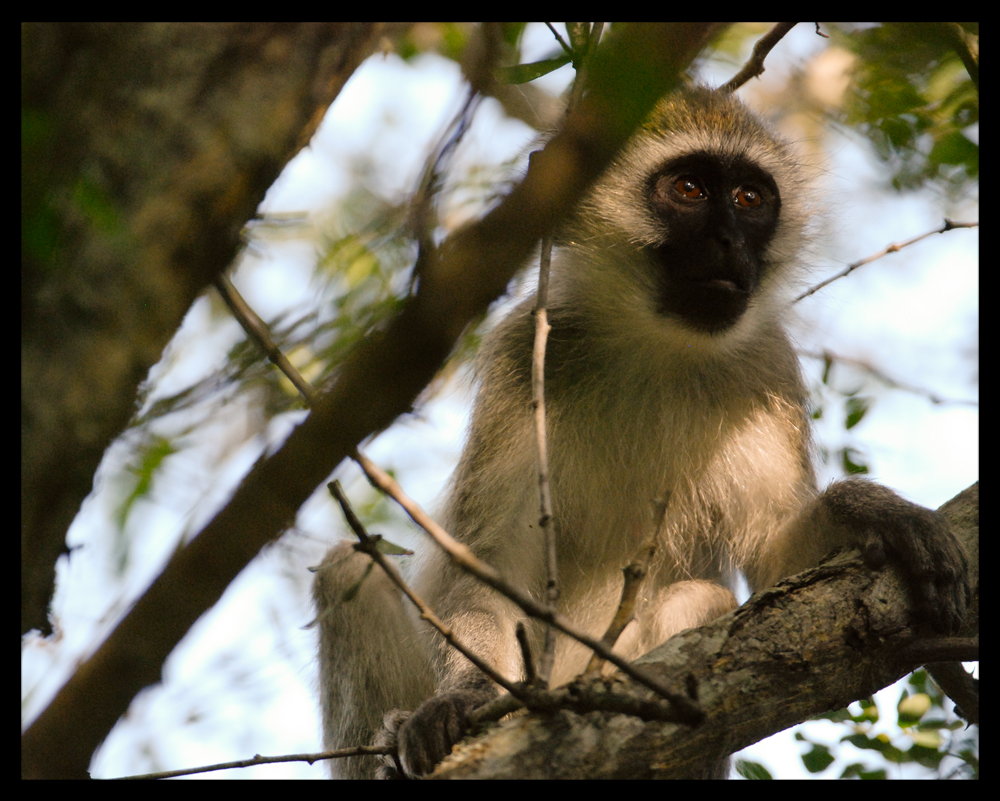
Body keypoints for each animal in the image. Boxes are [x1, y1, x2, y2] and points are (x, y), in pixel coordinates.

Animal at [312, 86, 968, 776]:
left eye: (749, 199)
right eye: (688, 189)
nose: (729, 241)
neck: (655, 345)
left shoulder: (765, 367)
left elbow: (775, 565)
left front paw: (869, 509)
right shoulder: (526, 353)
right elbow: (490, 570)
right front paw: (461, 698)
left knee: (699, 600)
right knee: (343, 566)